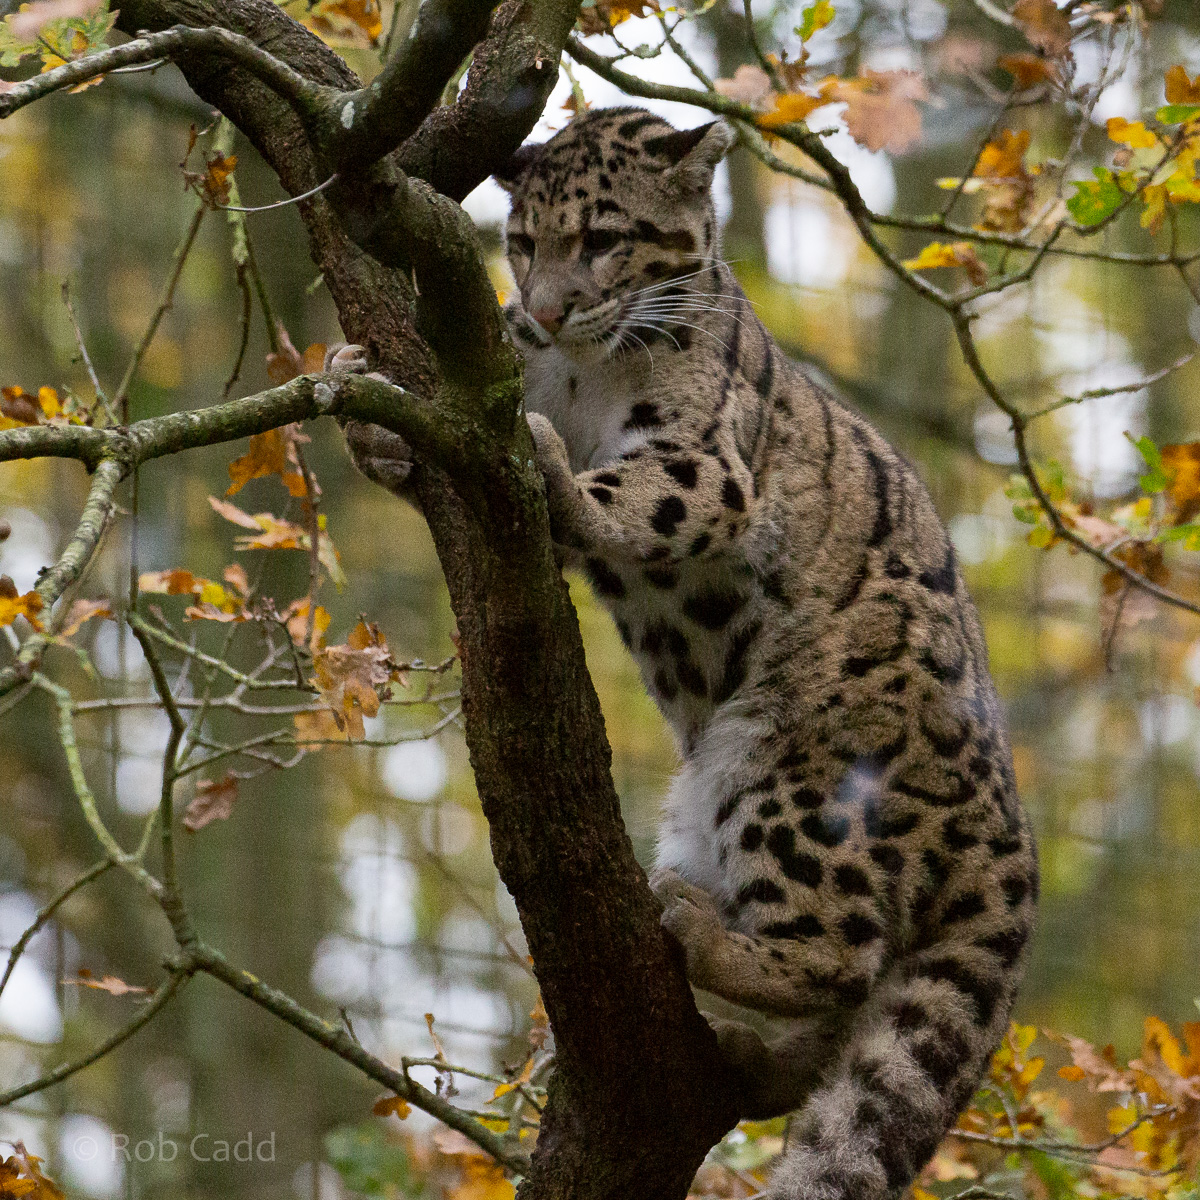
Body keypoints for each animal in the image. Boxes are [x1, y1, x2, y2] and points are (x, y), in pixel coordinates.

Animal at [337, 105, 1039, 1200]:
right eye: (522, 242)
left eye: (602, 239)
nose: (545, 312)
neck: (582, 369)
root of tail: (1008, 837)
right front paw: (369, 416)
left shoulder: (705, 458)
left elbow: (632, 489)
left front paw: (555, 467)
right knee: (851, 1015)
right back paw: (748, 1047)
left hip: (790, 772)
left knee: (842, 949)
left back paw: (699, 931)